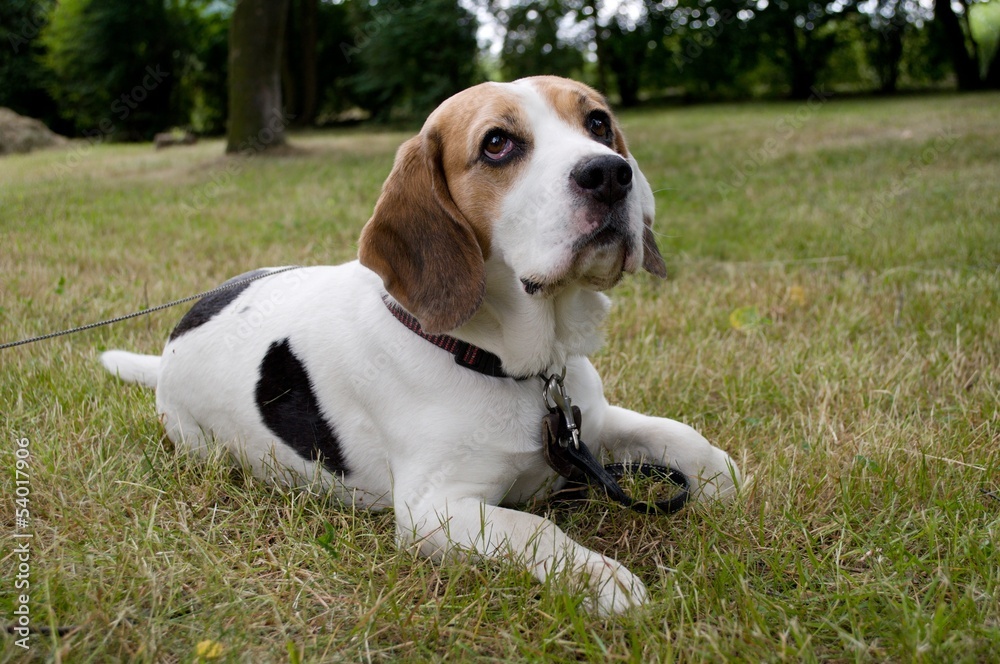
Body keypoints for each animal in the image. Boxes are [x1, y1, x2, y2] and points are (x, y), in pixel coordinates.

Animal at [105, 76, 740, 612]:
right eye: (497, 143)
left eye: (599, 122)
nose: (609, 173)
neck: (497, 360)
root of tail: (173, 340)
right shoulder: (434, 510)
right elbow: (534, 527)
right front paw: (606, 582)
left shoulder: (589, 422)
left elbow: (679, 437)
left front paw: (722, 481)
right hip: (197, 441)